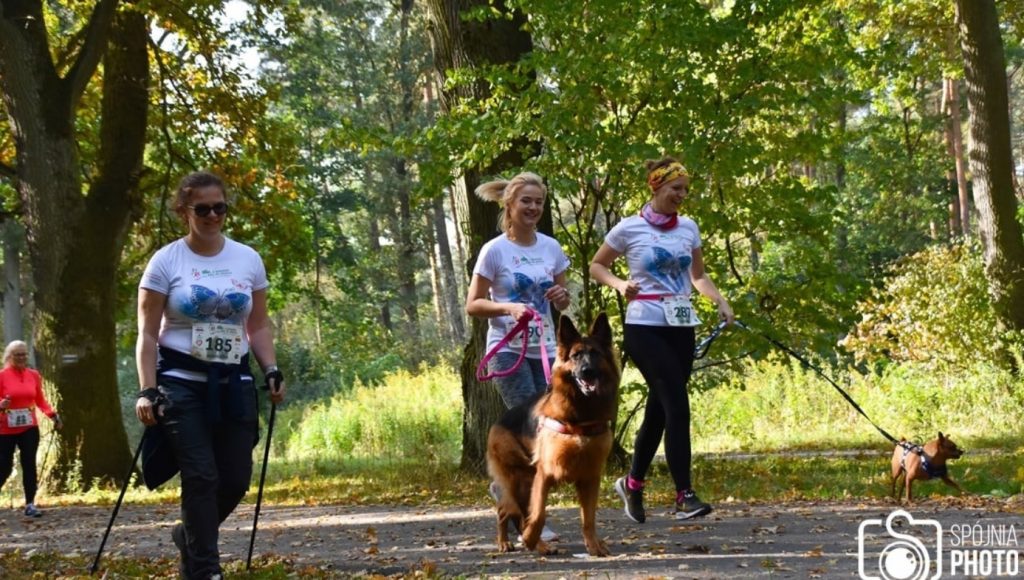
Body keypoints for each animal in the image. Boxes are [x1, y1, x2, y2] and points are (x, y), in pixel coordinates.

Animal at [485, 313, 618, 557]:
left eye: (595, 354)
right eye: (576, 356)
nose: (587, 371)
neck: (580, 416)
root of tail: (499, 420)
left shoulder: (590, 477)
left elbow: (589, 518)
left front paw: (594, 545)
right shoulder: (544, 473)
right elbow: (539, 514)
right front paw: (529, 538)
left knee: (516, 512)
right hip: (520, 479)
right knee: (505, 509)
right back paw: (507, 542)